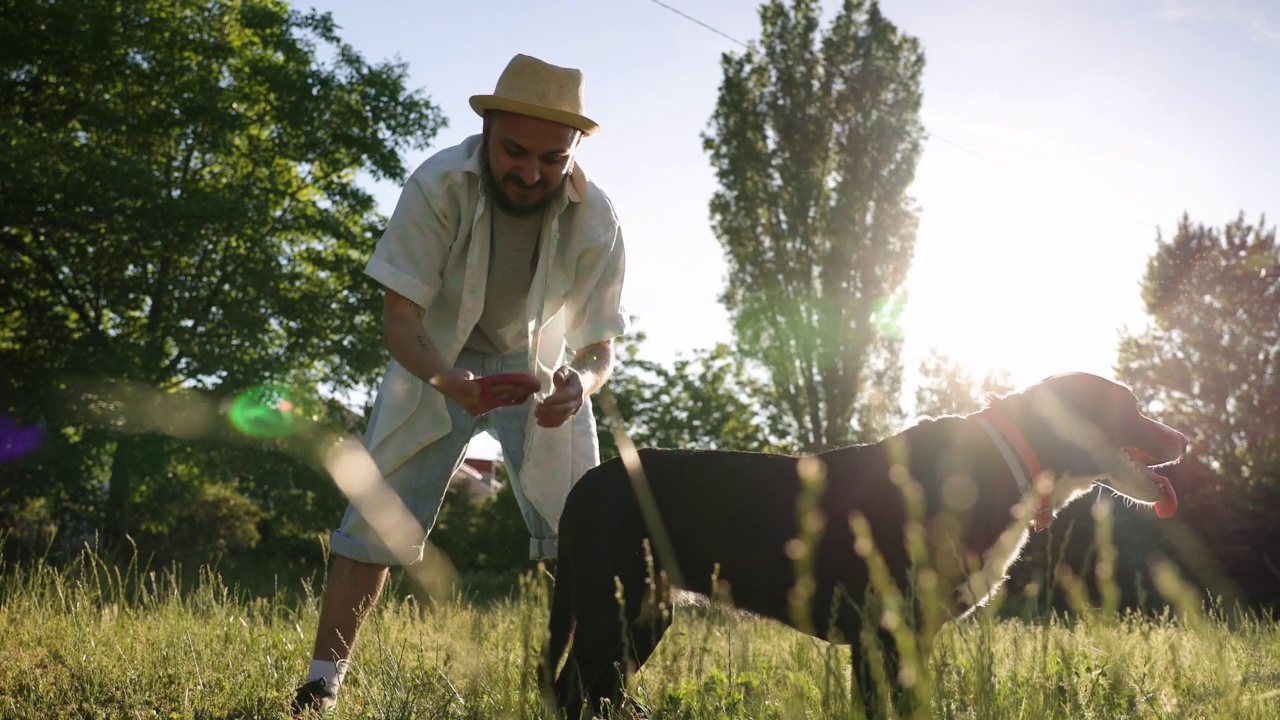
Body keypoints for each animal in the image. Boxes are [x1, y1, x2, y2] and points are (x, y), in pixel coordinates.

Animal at [540, 371, 1187, 712]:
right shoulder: (884, 632)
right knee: (575, 692)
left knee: (598, 695)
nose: (1186, 438)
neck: (1006, 465)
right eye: (1129, 407)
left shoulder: (904, 637)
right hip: (610, 608)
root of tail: (584, 484)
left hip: (643, 614)